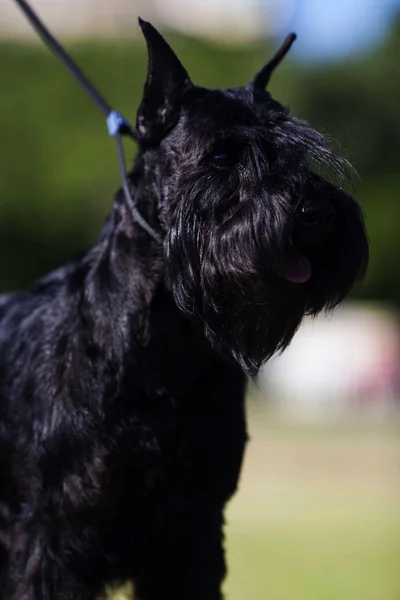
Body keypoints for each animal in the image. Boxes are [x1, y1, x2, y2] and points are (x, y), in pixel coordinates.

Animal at [0, 18, 368, 600]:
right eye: (221, 156)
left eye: (301, 153)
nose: (316, 213)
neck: (162, 351)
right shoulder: (48, 531)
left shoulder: (191, 526)